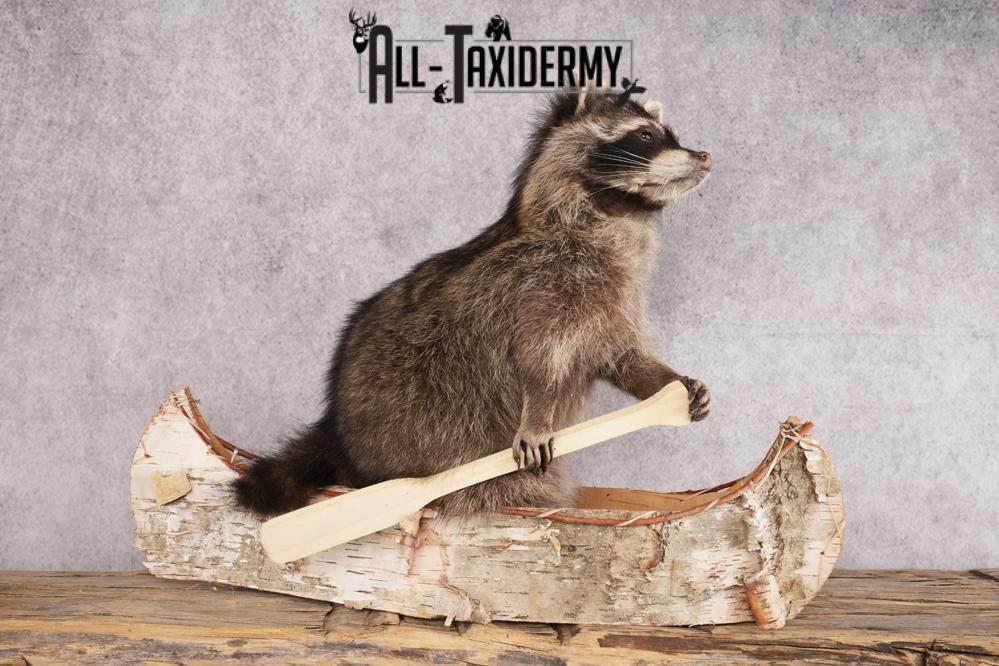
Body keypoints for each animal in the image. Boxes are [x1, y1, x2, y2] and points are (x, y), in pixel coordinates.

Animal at [232, 86, 713, 518]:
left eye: (672, 134)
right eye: (645, 136)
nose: (705, 156)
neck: (618, 213)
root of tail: (337, 432)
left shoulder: (615, 299)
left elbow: (622, 357)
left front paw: (670, 382)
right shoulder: (541, 287)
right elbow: (537, 361)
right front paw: (537, 412)